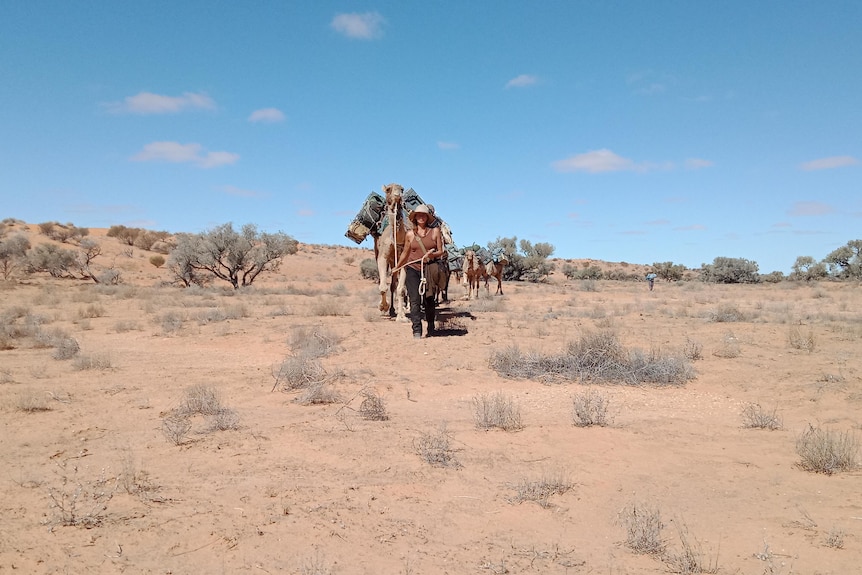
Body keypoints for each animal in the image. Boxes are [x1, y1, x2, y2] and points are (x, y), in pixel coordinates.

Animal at [372, 183, 410, 322]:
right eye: (388, 189)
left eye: (402, 189)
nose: (398, 195)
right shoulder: (383, 257)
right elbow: (383, 286)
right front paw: (382, 307)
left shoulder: (405, 261)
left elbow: (401, 289)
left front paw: (401, 317)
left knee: (395, 285)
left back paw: (396, 311)